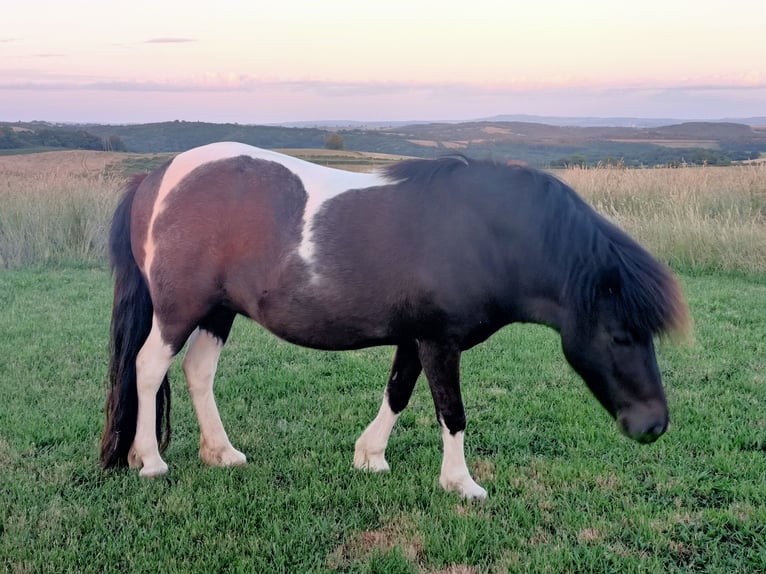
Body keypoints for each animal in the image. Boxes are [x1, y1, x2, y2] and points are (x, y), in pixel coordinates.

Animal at [99, 143, 692, 500]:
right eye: (620, 335)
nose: (654, 425)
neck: (483, 233)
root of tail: (157, 179)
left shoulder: (415, 337)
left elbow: (399, 391)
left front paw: (370, 457)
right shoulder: (439, 340)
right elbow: (451, 410)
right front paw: (461, 485)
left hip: (218, 311)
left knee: (198, 373)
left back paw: (222, 454)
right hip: (179, 311)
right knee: (148, 367)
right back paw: (149, 460)